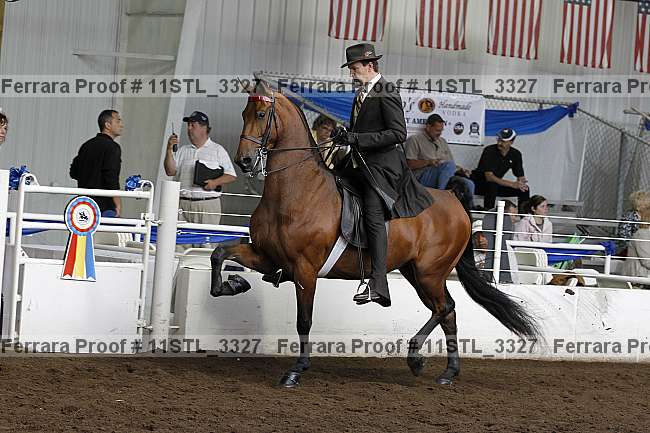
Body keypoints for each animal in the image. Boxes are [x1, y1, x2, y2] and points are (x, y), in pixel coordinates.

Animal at [210, 80, 540, 388]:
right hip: (416, 272)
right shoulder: (268, 256)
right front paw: (234, 283)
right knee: (448, 313)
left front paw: (295, 371)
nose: (244, 161)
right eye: (244, 114)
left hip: (429, 273)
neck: (295, 192)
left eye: (261, 114)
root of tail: (453, 200)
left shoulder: (305, 269)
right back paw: (448, 373)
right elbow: (219, 254)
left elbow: (304, 320)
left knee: (445, 308)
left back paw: (416, 357)